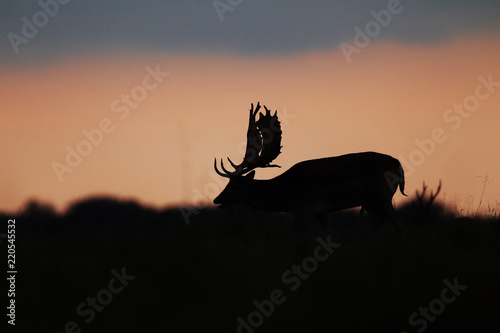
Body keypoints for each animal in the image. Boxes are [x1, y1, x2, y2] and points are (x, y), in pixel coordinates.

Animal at [214, 102, 406, 230]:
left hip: (382, 196)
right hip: (371, 202)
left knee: (398, 223)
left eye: (235, 185)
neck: (285, 193)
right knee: (381, 223)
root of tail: (397, 164)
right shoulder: (320, 211)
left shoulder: (303, 209)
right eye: (227, 183)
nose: (217, 199)